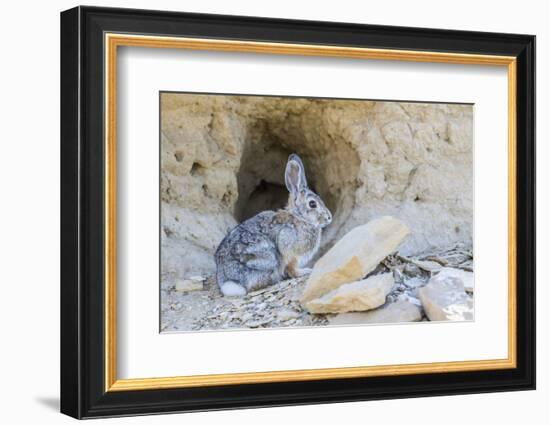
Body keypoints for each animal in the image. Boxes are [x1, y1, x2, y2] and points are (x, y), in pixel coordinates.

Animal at [216, 154, 332, 296]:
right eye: (312, 204)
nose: (329, 218)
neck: (299, 217)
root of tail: (230, 280)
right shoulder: (289, 250)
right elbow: (292, 267)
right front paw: (304, 272)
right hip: (267, 258)